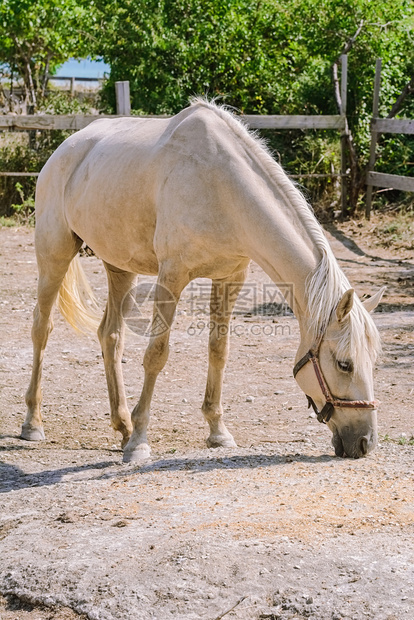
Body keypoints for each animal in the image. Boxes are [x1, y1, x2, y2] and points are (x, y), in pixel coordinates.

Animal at [23, 99, 384, 460]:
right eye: (345, 365)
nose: (364, 442)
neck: (221, 186)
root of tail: (65, 149)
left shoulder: (230, 277)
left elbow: (218, 350)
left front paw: (217, 431)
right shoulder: (172, 276)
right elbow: (156, 354)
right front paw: (140, 441)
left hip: (119, 267)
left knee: (110, 336)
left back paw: (121, 425)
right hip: (54, 253)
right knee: (42, 328)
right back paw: (34, 423)